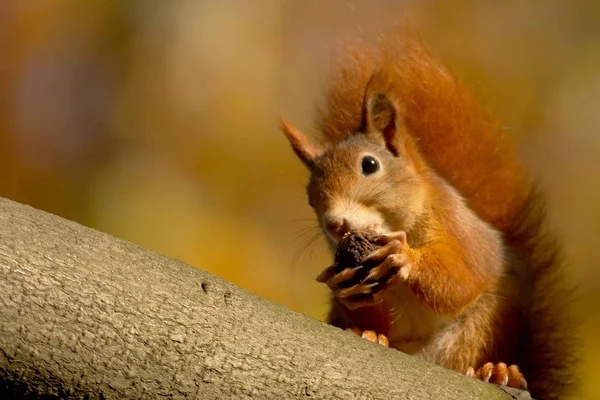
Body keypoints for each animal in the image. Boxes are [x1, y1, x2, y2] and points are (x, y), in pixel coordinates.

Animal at [282, 28, 576, 400]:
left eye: (369, 165)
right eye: (309, 197)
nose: (335, 224)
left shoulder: (460, 229)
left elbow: (462, 276)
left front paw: (406, 257)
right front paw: (345, 288)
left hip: (488, 322)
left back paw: (499, 372)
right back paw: (370, 335)